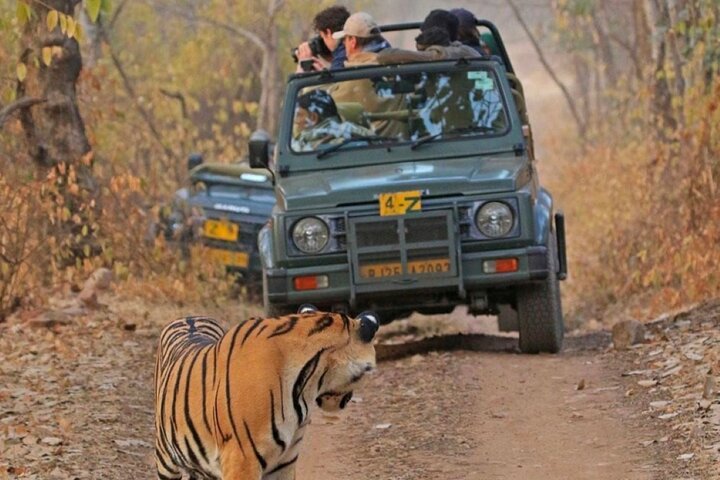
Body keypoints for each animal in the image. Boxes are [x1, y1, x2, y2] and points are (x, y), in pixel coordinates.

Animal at [154, 305, 379, 480]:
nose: (347, 399)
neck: (304, 385)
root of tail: (189, 317)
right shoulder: (241, 459)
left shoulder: (285, 462)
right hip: (165, 460)